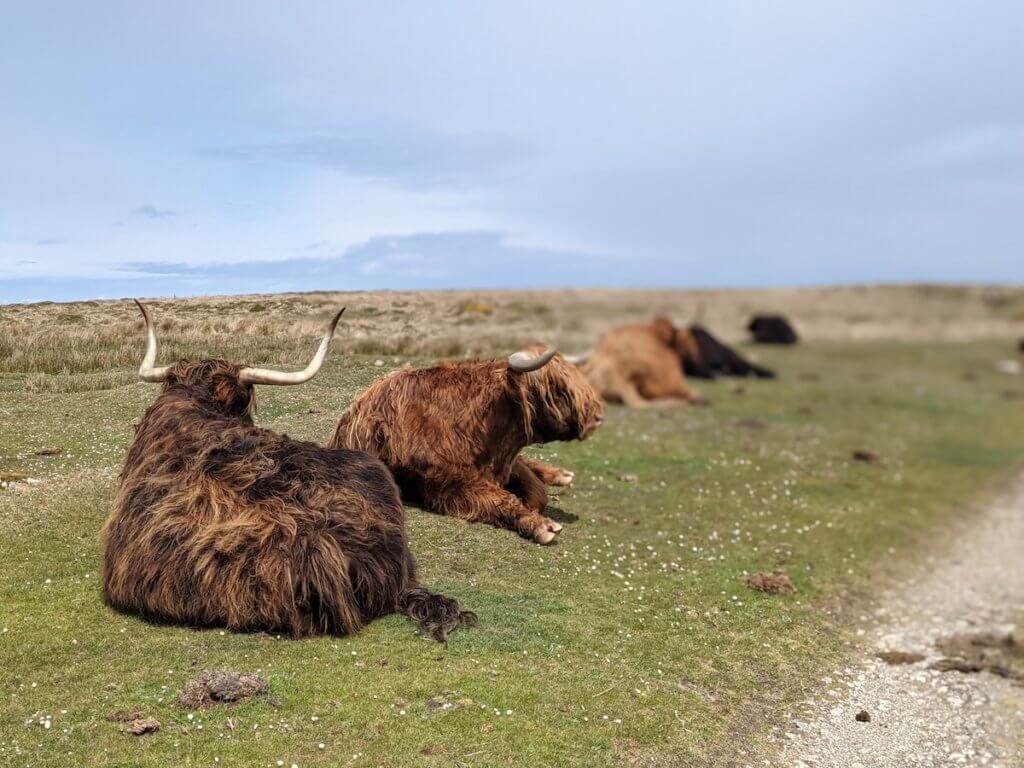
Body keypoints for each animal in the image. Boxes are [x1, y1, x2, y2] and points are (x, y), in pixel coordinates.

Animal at [327, 346, 602, 544]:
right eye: (558, 389)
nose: (598, 416)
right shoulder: (447, 481)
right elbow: (503, 498)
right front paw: (540, 525)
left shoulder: (507, 461)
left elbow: (537, 491)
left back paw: (561, 474)